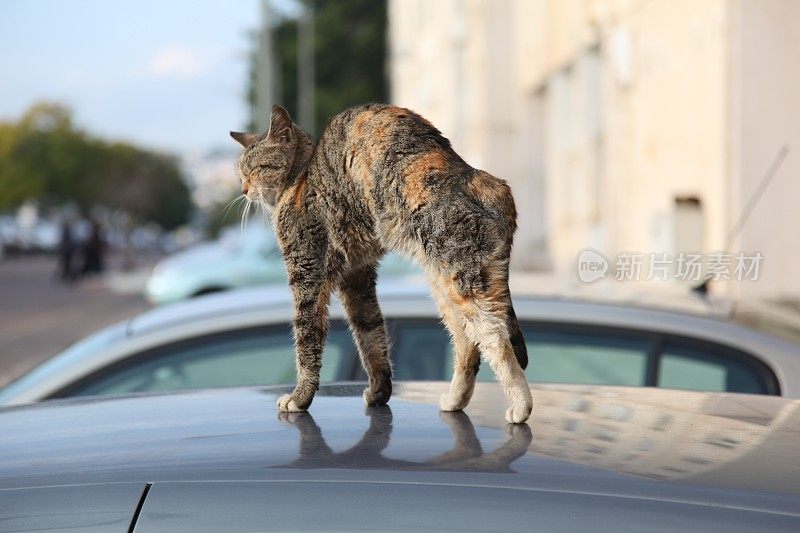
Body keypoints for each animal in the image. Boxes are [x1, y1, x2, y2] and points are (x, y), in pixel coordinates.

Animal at [230, 103, 532, 420]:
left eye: (255, 169)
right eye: (240, 174)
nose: (243, 189)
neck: (300, 178)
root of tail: (487, 182)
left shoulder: (308, 272)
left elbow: (306, 340)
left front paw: (300, 398)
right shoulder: (357, 276)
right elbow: (371, 335)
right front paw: (379, 393)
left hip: (466, 282)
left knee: (496, 340)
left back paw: (520, 406)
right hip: (446, 287)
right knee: (467, 345)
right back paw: (454, 400)